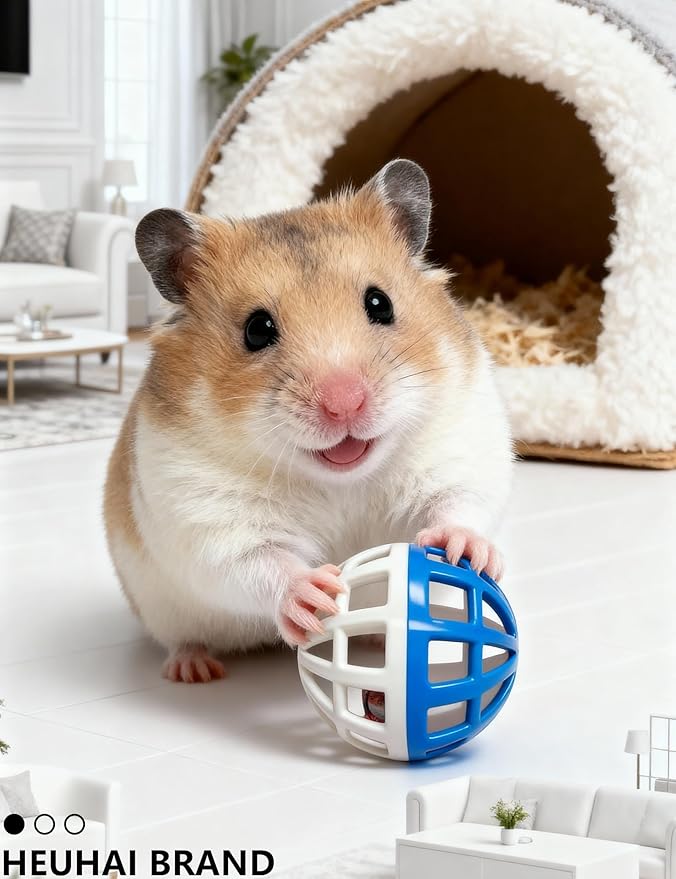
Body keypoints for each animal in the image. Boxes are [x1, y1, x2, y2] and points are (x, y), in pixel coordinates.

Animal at [104, 159, 513, 683]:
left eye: (380, 303)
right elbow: (257, 562)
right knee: (186, 637)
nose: (344, 405)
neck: (341, 480)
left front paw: (467, 553)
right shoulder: (207, 516)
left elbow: (458, 506)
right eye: (257, 329)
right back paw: (193, 670)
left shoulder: (461, 449)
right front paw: (314, 593)